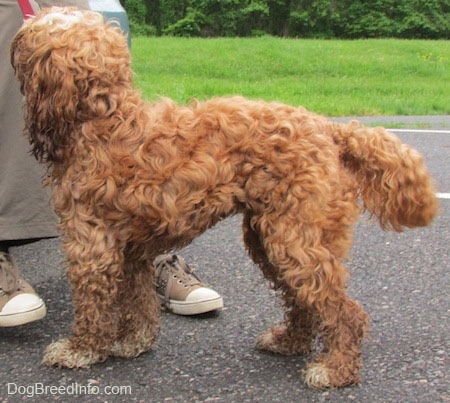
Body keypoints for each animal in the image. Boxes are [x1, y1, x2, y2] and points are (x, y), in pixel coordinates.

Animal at [10, 7, 438, 390]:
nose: (18, 31)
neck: (105, 119)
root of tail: (331, 131)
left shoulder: (91, 247)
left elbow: (92, 306)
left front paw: (80, 350)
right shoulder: (131, 253)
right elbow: (137, 303)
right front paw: (134, 342)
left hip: (295, 240)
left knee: (345, 312)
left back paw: (335, 370)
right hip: (269, 239)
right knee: (305, 303)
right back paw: (289, 342)